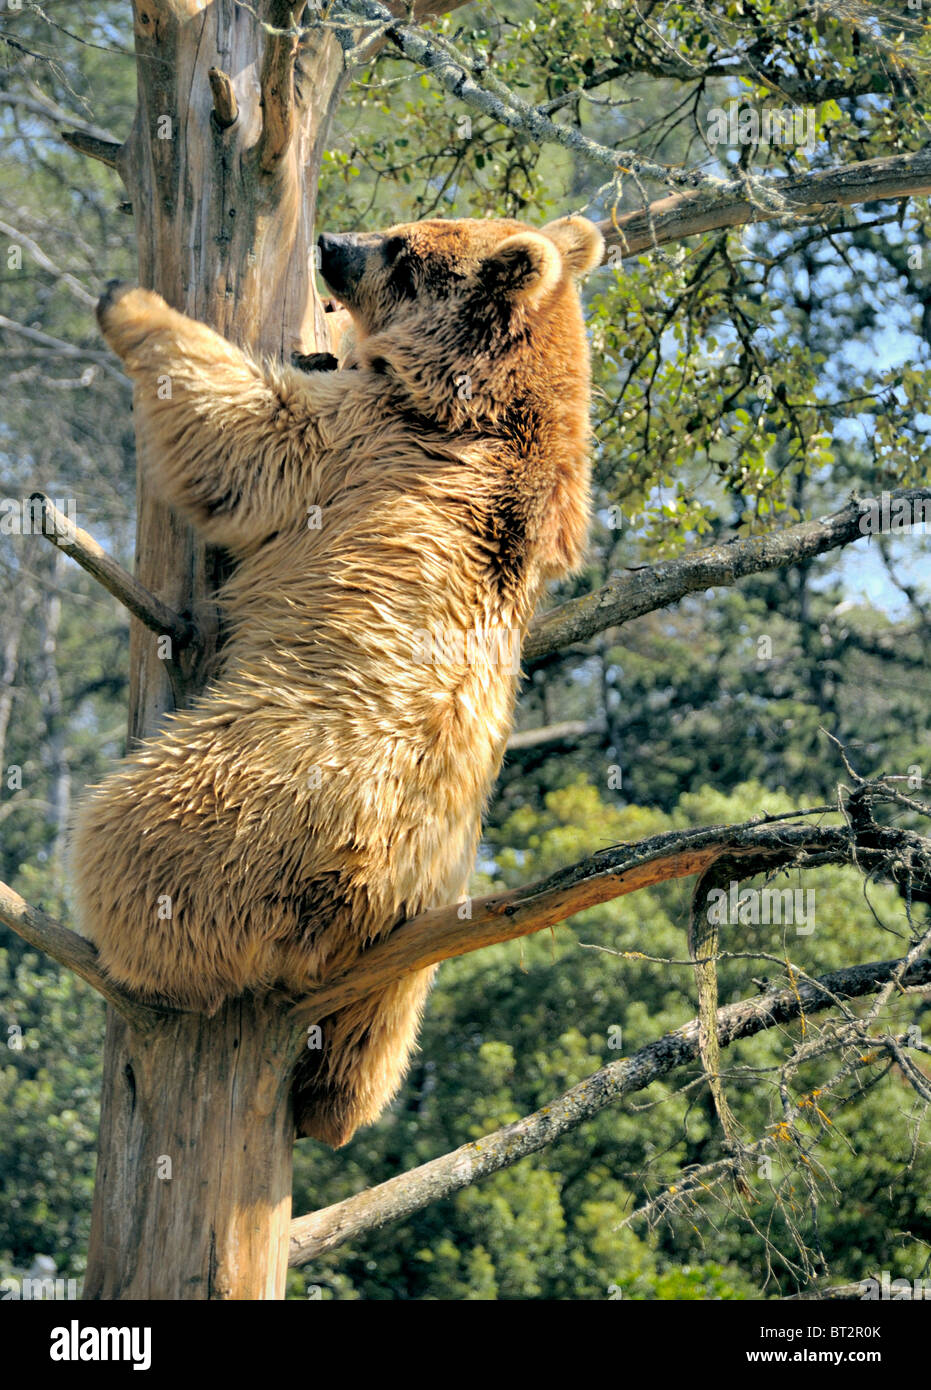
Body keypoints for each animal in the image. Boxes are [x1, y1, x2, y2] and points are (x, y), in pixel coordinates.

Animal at [71, 213, 604, 1147]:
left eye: (404, 248)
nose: (330, 245)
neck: (476, 404)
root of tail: (361, 901)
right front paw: (315, 350)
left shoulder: (366, 442)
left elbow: (250, 433)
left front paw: (128, 300)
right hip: (420, 931)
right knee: (374, 1037)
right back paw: (328, 1106)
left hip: (256, 791)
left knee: (140, 841)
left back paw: (127, 944)